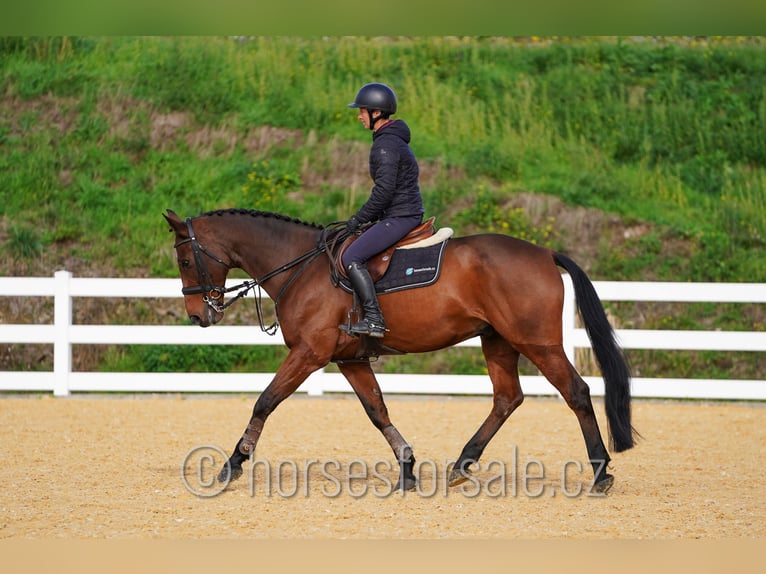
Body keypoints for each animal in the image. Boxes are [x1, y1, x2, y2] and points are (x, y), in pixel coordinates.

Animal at [164, 208, 637, 494]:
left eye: (185, 261)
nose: (198, 315)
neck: (301, 265)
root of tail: (543, 252)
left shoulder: (309, 354)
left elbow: (264, 402)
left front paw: (232, 464)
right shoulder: (350, 359)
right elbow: (378, 411)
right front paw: (408, 468)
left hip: (535, 341)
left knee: (576, 392)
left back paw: (600, 472)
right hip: (498, 341)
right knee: (507, 398)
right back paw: (462, 464)